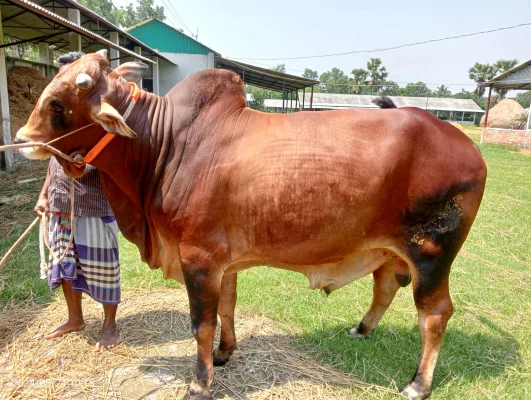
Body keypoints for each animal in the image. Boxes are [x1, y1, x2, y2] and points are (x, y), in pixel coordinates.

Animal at [14, 50, 488, 400]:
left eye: (58, 104)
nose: (19, 140)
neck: (164, 145)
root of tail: (467, 147)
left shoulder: (199, 257)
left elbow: (201, 323)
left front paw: (200, 383)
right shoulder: (222, 261)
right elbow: (227, 307)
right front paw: (225, 353)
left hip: (430, 253)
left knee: (435, 314)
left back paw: (418, 384)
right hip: (390, 249)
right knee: (385, 287)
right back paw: (362, 329)